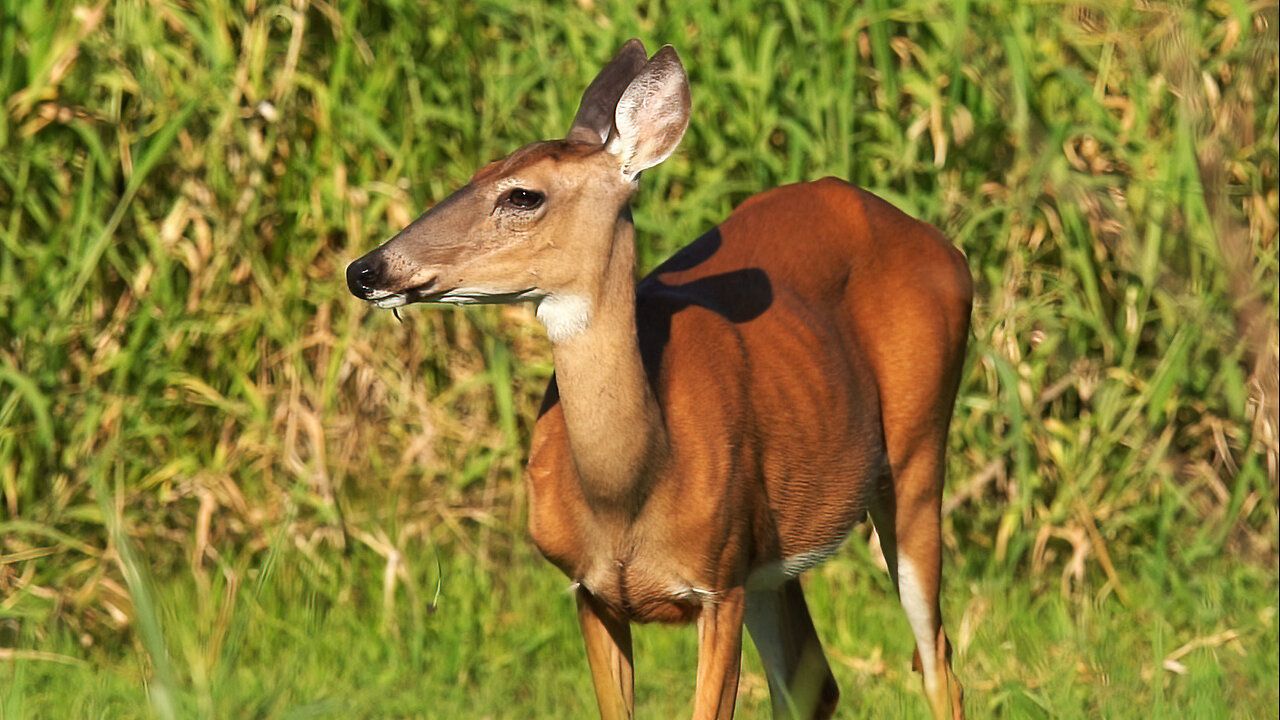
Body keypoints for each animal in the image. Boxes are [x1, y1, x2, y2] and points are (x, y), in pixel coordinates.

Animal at [345, 40, 962, 717]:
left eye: (523, 195)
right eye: (479, 171)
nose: (365, 268)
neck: (632, 491)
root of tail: (941, 244)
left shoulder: (718, 584)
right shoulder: (591, 590)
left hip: (917, 455)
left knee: (937, 665)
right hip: (773, 556)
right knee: (812, 681)